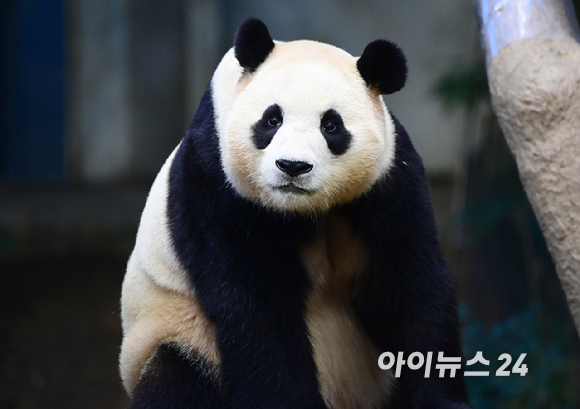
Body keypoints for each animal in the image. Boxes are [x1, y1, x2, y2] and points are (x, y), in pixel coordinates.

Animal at [120, 18, 474, 408]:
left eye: (331, 125)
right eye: (272, 120)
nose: (292, 166)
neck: (302, 211)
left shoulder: (388, 183)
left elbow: (410, 283)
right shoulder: (216, 187)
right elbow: (257, 311)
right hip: (178, 335)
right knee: (175, 378)